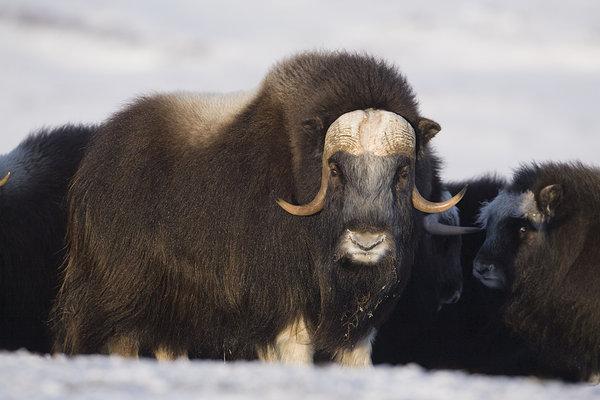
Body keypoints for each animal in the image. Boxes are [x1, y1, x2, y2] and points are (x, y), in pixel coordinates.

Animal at [51, 50, 466, 366]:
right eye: (335, 168)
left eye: (403, 171)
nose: (367, 242)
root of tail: (97, 156)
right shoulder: (287, 319)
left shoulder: (359, 329)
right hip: (119, 305)